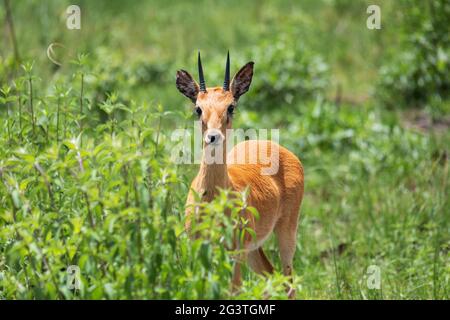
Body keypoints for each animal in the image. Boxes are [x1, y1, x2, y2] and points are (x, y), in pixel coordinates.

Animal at [174, 52, 304, 296]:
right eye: (198, 108)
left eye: (231, 107)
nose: (213, 136)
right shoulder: (199, 248)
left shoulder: (235, 254)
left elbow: (233, 289)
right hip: (254, 250)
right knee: (272, 276)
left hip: (286, 233)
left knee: (289, 282)